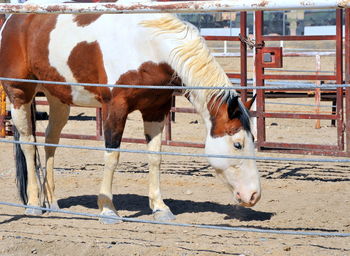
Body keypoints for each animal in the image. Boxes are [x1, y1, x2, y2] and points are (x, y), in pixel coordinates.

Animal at [0, 13, 262, 223]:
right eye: (237, 144)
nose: (254, 195)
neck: (148, 46)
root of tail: (13, 19)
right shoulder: (115, 108)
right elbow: (112, 156)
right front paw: (107, 210)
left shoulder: (156, 109)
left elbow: (155, 157)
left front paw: (160, 208)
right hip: (20, 94)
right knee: (28, 144)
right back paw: (34, 205)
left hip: (58, 98)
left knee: (50, 142)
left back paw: (53, 203)